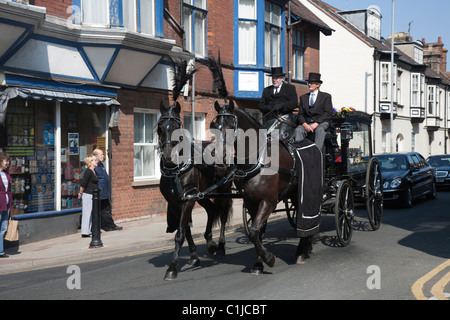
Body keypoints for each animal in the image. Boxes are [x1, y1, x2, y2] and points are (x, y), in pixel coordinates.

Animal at [157, 101, 232, 278]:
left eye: (177, 126)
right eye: (160, 128)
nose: (168, 156)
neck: (176, 171)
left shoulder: (188, 199)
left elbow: (179, 234)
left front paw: (172, 267)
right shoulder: (176, 203)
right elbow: (185, 230)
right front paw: (193, 257)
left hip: (223, 190)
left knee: (223, 215)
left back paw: (220, 245)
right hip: (202, 195)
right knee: (211, 210)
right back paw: (210, 242)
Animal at [211, 101, 324, 274]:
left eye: (231, 125)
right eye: (214, 125)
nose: (219, 157)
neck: (258, 160)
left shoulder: (268, 201)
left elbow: (254, 230)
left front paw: (269, 258)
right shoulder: (251, 203)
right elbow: (257, 232)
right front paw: (259, 263)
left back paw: (301, 251)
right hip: (295, 194)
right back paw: (306, 246)